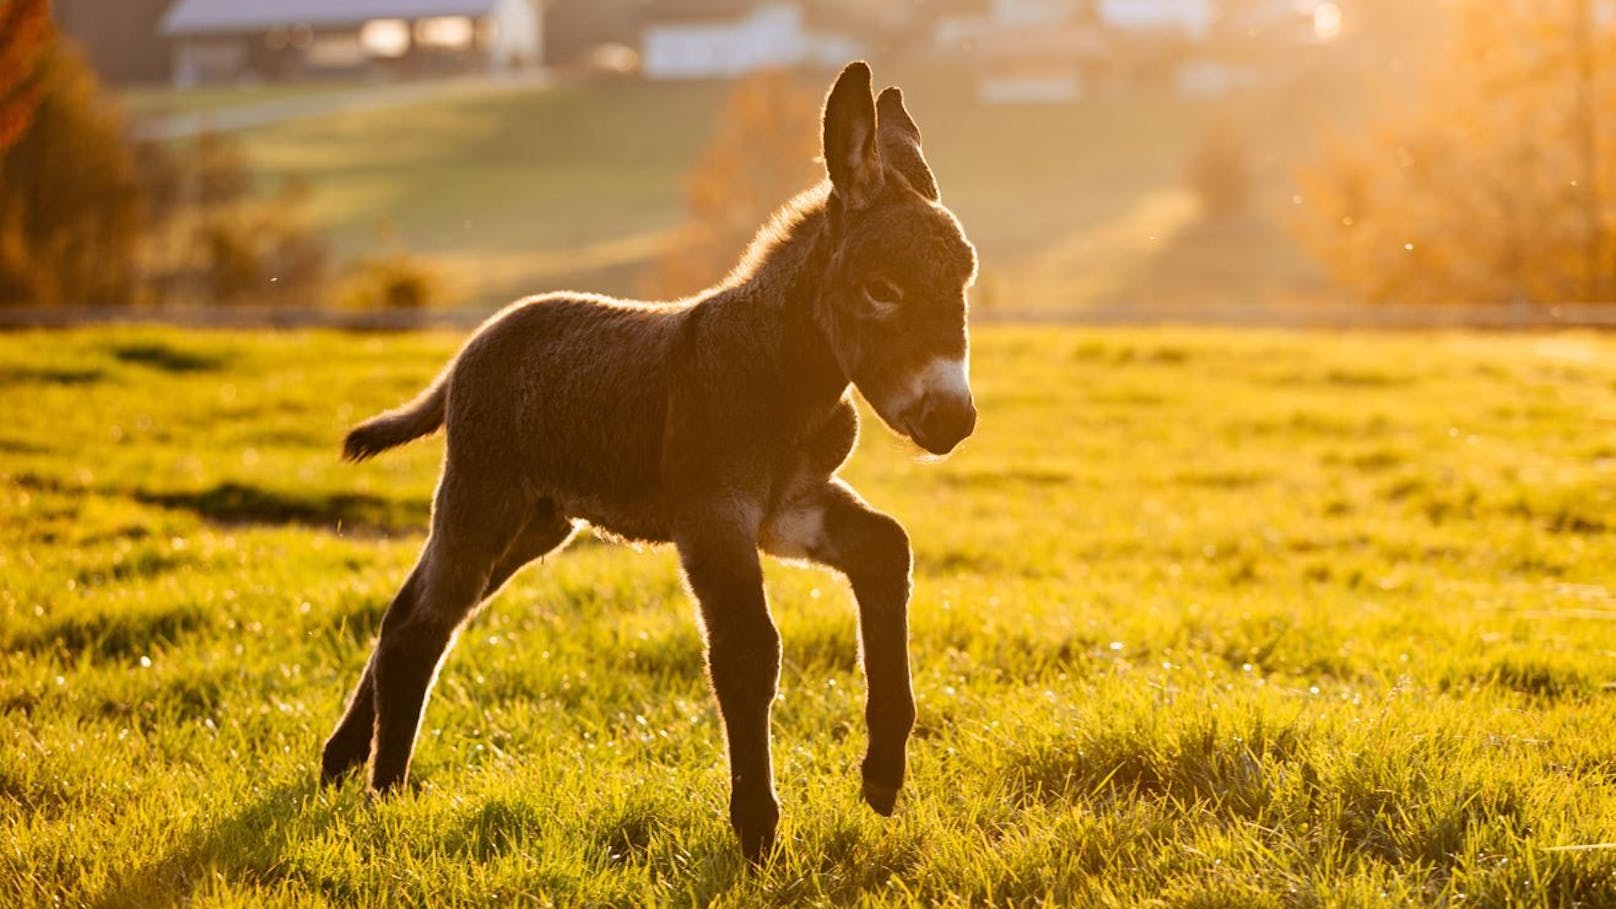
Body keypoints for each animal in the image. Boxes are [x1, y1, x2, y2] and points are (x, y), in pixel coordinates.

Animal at [313, 61, 969, 854]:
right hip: (484, 497)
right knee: (421, 625)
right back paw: (385, 792)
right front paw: (757, 832)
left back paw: (343, 761)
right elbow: (748, 651)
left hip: (537, 523)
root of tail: (479, 341)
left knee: (409, 608)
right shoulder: (714, 514)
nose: (955, 420)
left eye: (964, 283)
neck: (782, 368)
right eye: (882, 290)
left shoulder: (790, 507)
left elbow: (886, 549)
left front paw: (882, 774)